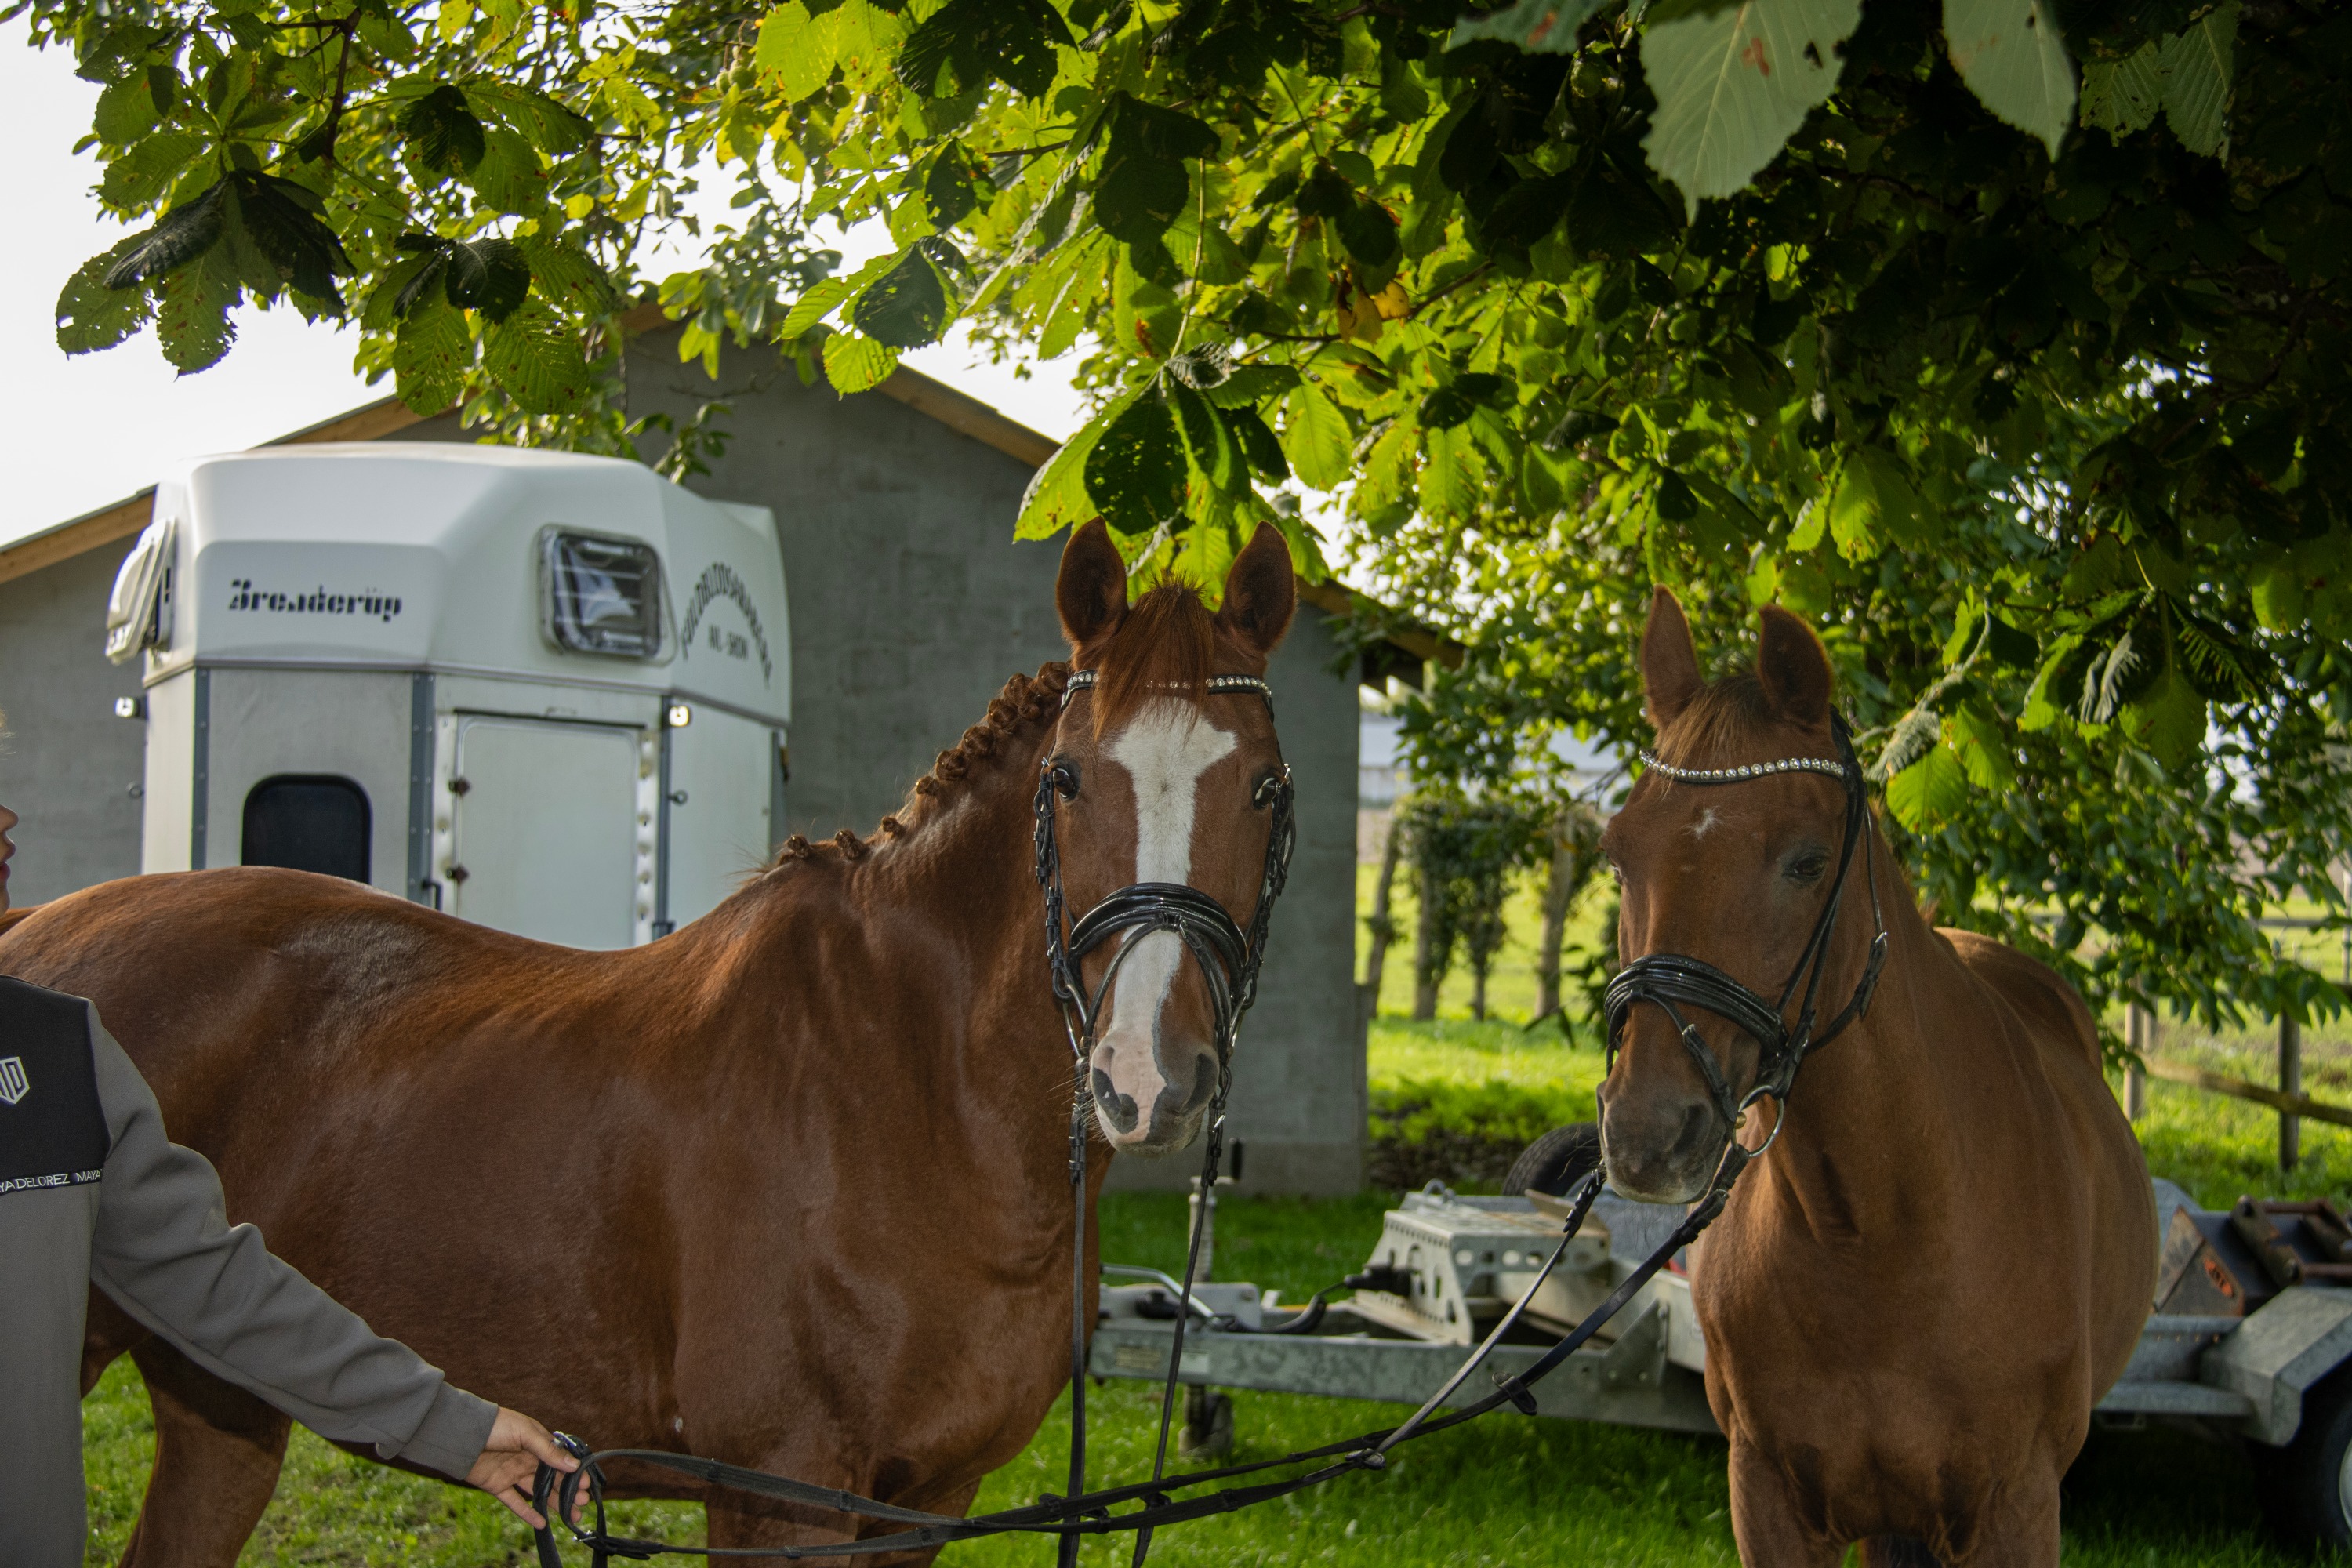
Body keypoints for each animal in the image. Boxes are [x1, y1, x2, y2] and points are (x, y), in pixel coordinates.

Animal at [1, 518, 1298, 1564]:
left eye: (1266, 787)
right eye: (1069, 779)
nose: (1147, 1078)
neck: (915, 1098)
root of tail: (38, 935)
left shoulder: (927, 1504)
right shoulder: (781, 1502)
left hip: (222, 1402)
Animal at [1597, 589, 2153, 1567]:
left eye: (1807, 860)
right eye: (1619, 851)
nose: (1646, 1135)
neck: (1877, 1234)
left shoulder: (2016, 1509)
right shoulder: (1769, 1498)